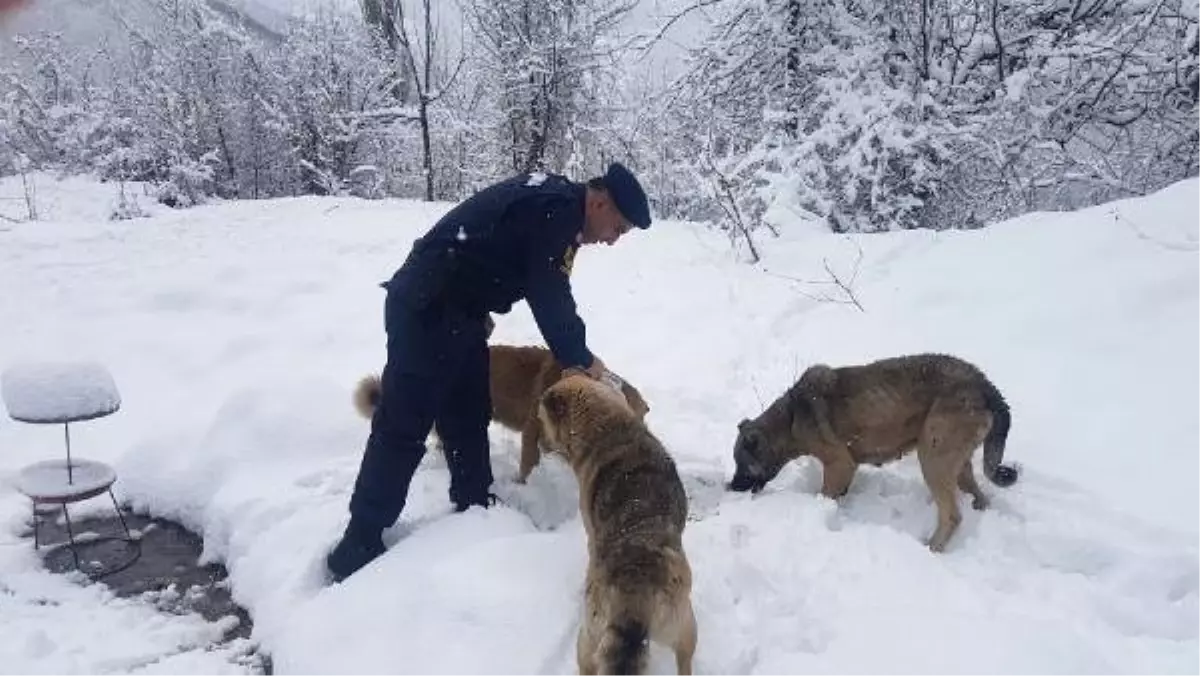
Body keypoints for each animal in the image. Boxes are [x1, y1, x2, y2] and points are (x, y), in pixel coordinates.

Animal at [540, 374, 700, 676]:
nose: (542, 446)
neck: (606, 423)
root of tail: (634, 596)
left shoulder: (591, 533)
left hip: (589, 638)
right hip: (684, 628)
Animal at [724, 353, 1017, 552]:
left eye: (741, 465)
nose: (731, 487)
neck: (790, 419)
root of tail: (985, 385)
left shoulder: (839, 463)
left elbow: (825, 493)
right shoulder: (845, 469)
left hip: (933, 458)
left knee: (952, 516)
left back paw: (932, 548)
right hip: (957, 463)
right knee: (979, 495)